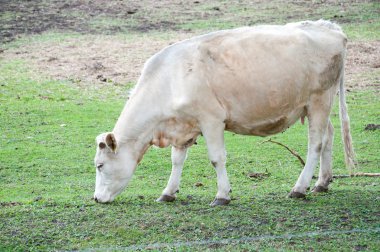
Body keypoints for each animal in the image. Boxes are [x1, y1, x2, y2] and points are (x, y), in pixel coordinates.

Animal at [93, 19, 354, 205]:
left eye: (100, 165)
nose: (96, 198)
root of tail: (329, 28)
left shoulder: (211, 120)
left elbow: (217, 158)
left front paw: (222, 195)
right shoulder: (183, 124)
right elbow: (177, 160)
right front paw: (168, 192)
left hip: (320, 99)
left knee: (315, 144)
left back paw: (299, 188)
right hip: (313, 106)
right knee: (328, 135)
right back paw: (322, 183)